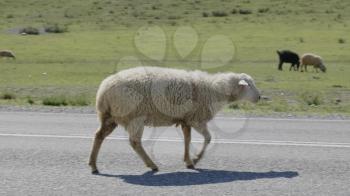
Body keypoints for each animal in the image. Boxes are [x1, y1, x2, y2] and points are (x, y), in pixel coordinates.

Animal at [89, 66, 262, 174]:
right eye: (249, 85)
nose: (260, 97)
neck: (214, 89)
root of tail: (103, 91)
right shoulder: (197, 119)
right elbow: (208, 138)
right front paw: (196, 159)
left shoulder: (186, 119)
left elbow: (187, 139)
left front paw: (188, 161)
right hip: (135, 116)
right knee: (135, 142)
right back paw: (152, 165)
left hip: (110, 117)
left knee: (99, 136)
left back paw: (93, 165)